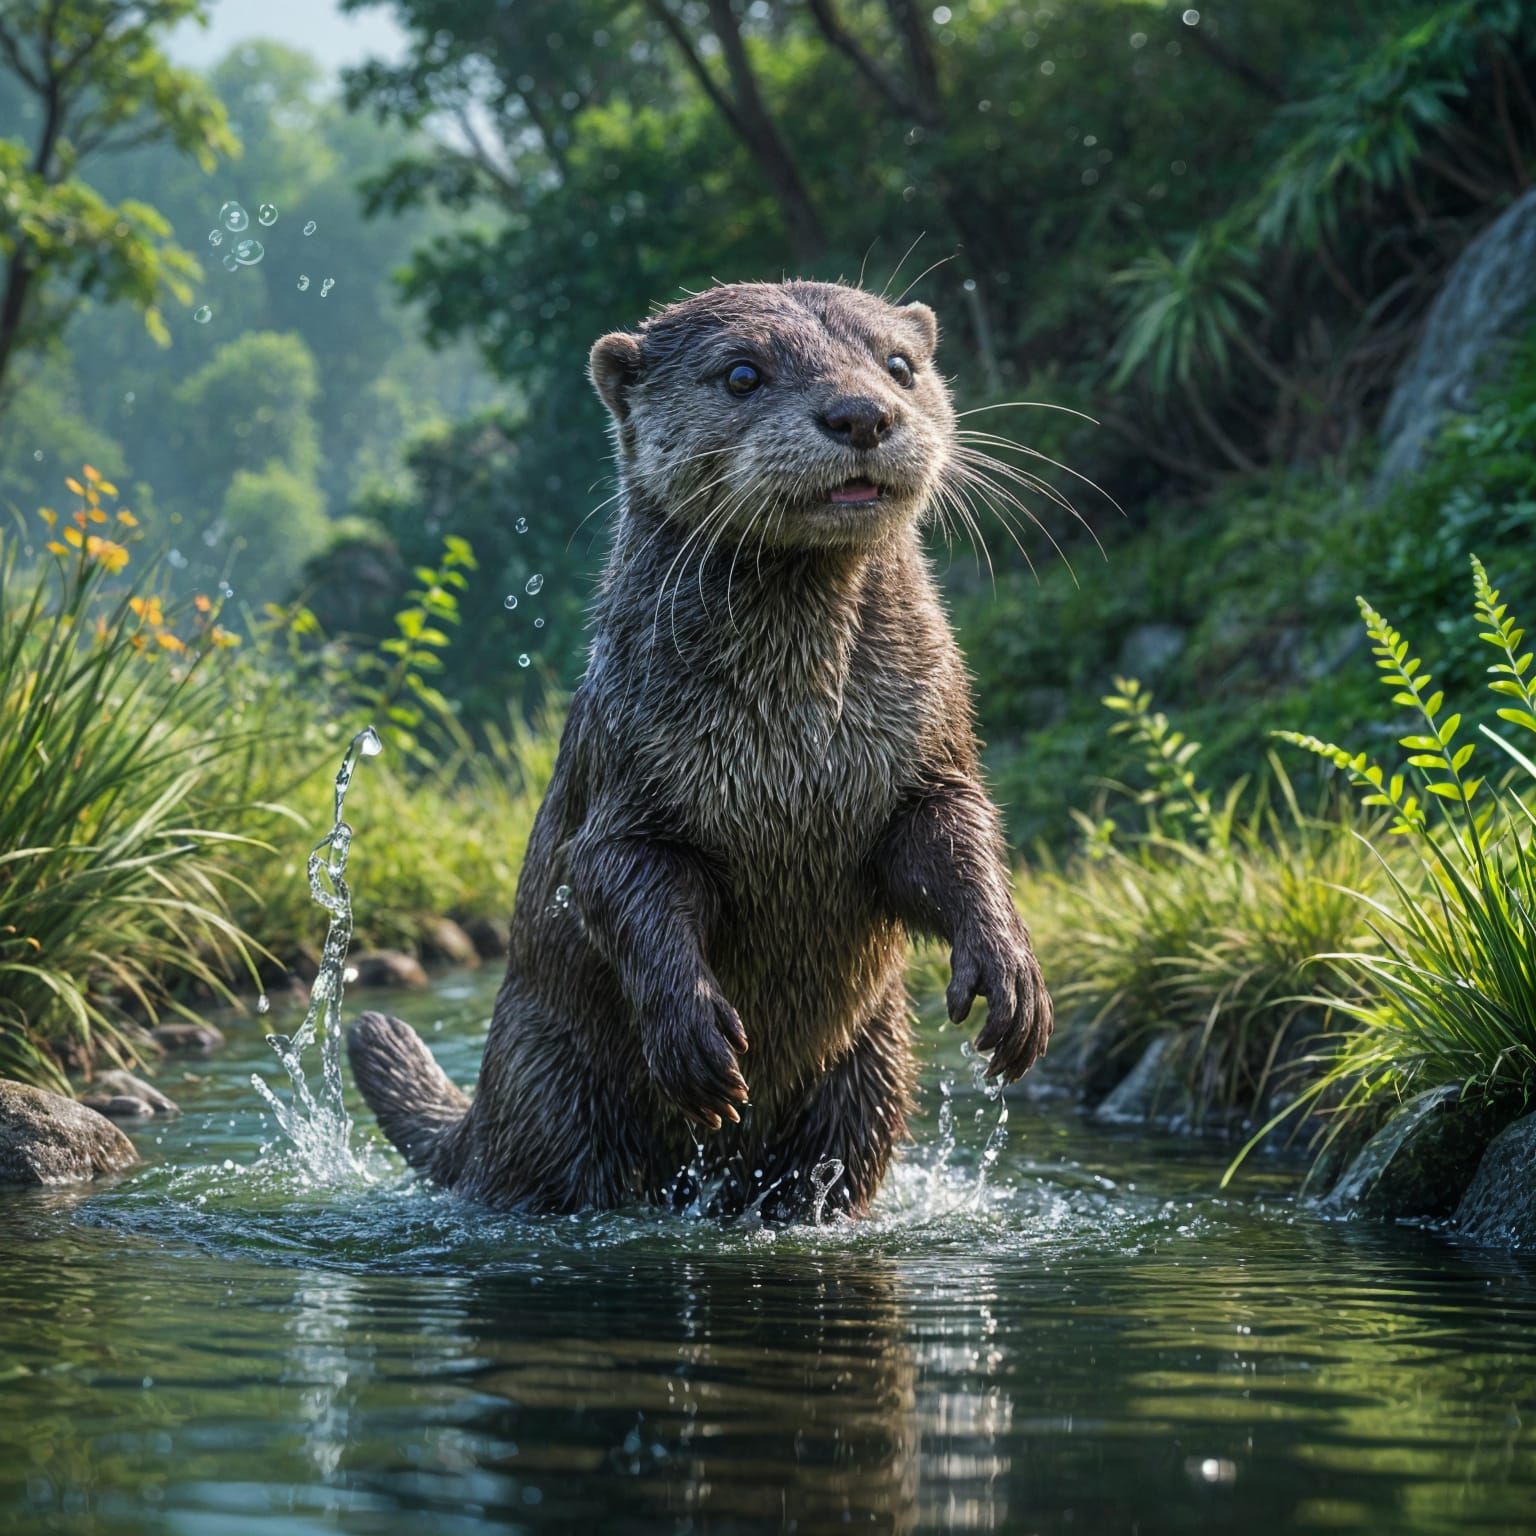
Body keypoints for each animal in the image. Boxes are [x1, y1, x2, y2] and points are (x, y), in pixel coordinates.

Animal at [348, 280, 1053, 1219]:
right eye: (743, 373)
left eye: (900, 364)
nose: (862, 413)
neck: (802, 739)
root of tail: (484, 1108)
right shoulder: (628, 772)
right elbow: (615, 873)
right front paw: (692, 1030)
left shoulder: (932, 746)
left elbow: (956, 833)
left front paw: (1010, 974)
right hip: (554, 1088)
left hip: (872, 1068)